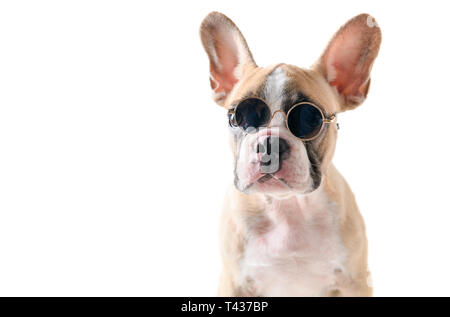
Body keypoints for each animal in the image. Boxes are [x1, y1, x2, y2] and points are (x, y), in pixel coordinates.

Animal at [200, 10, 380, 296]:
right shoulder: (233, 283)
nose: (270, 144)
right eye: (239, 118)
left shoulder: (355, 282)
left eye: (310, 119)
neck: (287, 208)